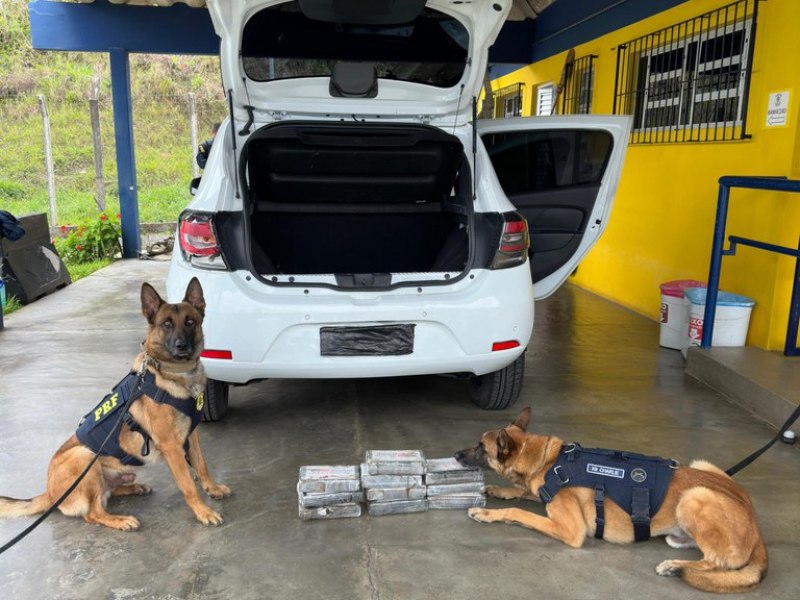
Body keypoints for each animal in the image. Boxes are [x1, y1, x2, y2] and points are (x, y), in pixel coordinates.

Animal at [0, 278, 231, 532]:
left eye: (190, 322)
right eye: (167, 324)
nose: (182, 346)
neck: (175, 373)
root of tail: (50, 494)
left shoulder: (192, 435)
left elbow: (201, 465)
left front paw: (213, 488)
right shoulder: (171, 447)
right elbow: (188, 484)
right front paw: (203, 511)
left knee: (109, 493)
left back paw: (135, 488)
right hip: (84, 456)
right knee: (93, 513)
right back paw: (121, 520)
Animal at [454, 406, 764, 592]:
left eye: (480, 448)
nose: (456, 454)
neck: (545, 460)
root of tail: (755, 521)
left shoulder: (571, 530)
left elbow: (519, 512)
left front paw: (486, 513)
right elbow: (521, 492)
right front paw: (497, 490)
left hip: (694, 496)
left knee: (719, 562)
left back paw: (675, 567)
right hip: (702, 469)